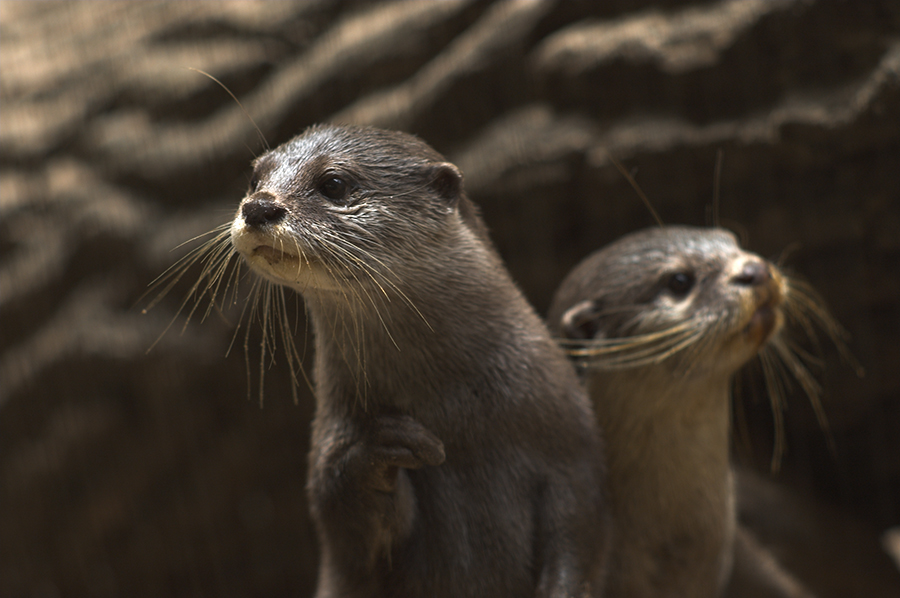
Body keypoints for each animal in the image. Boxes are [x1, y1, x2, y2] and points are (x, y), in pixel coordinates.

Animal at [225, 125, 608, 598]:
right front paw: (375, 450)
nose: (258, 206)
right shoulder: (332, 431)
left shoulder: (569, 432)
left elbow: (581, 522)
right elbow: (343, 529)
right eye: (254, 179)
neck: (454, 404)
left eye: (334, 183)